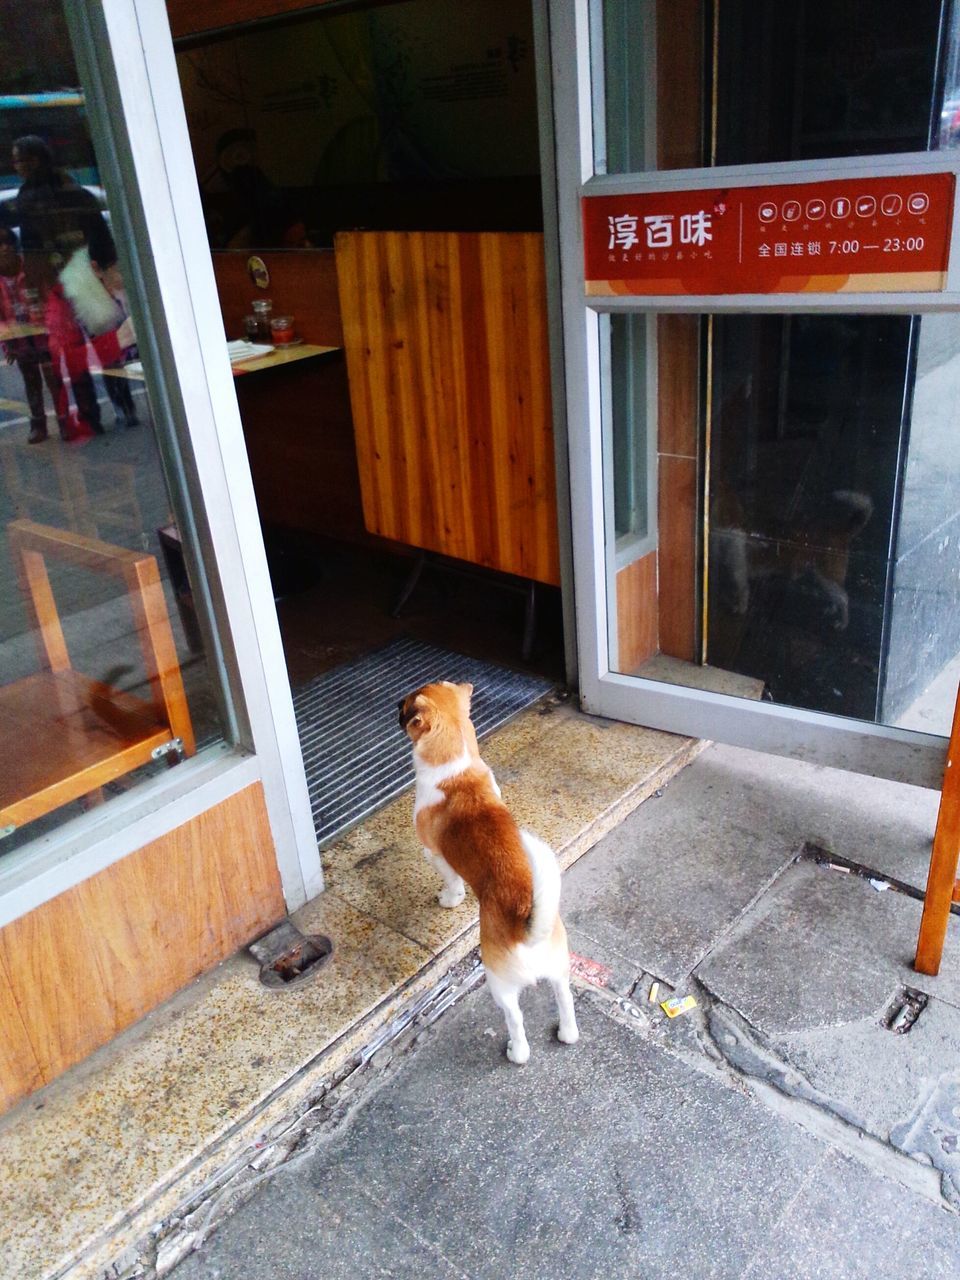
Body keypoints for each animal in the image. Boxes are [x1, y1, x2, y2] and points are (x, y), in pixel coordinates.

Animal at [399, 686, 578, 1064]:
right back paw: (567, 1032)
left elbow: (452, 883)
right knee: (565, 999)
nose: (393, 705)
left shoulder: (435, 855)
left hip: (500, 984)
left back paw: (516, 1051)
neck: (456, 768)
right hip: (560, 970)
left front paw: (449, 899)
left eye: (405, 707)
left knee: (516, 1020)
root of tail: (527, 924)